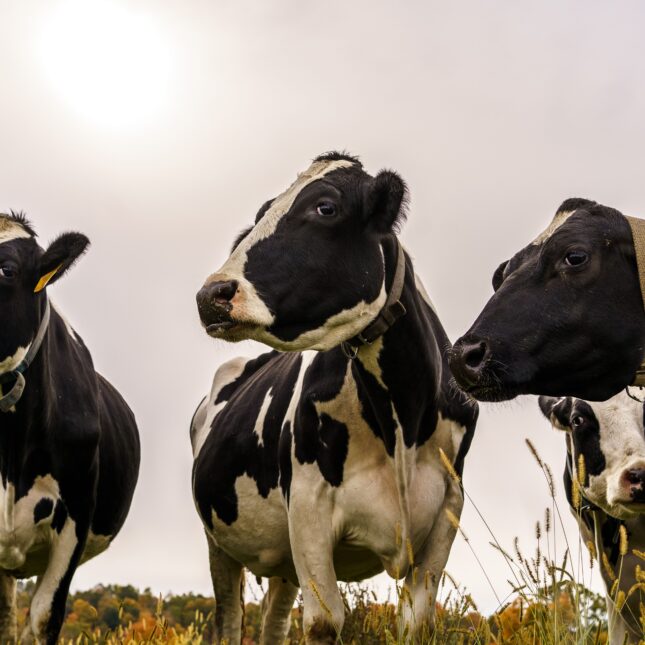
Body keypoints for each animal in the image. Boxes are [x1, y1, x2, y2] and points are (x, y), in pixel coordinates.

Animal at [189, 152, 476, 644]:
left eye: (325, 207)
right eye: (262, 213)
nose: (211, 294)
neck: (401, 419)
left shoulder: (447, 511)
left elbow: (417, 620)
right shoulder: (309, 508)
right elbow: (325, 622)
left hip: (281, 562)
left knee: (273, 624)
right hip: (219, 542)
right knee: (229, 622)